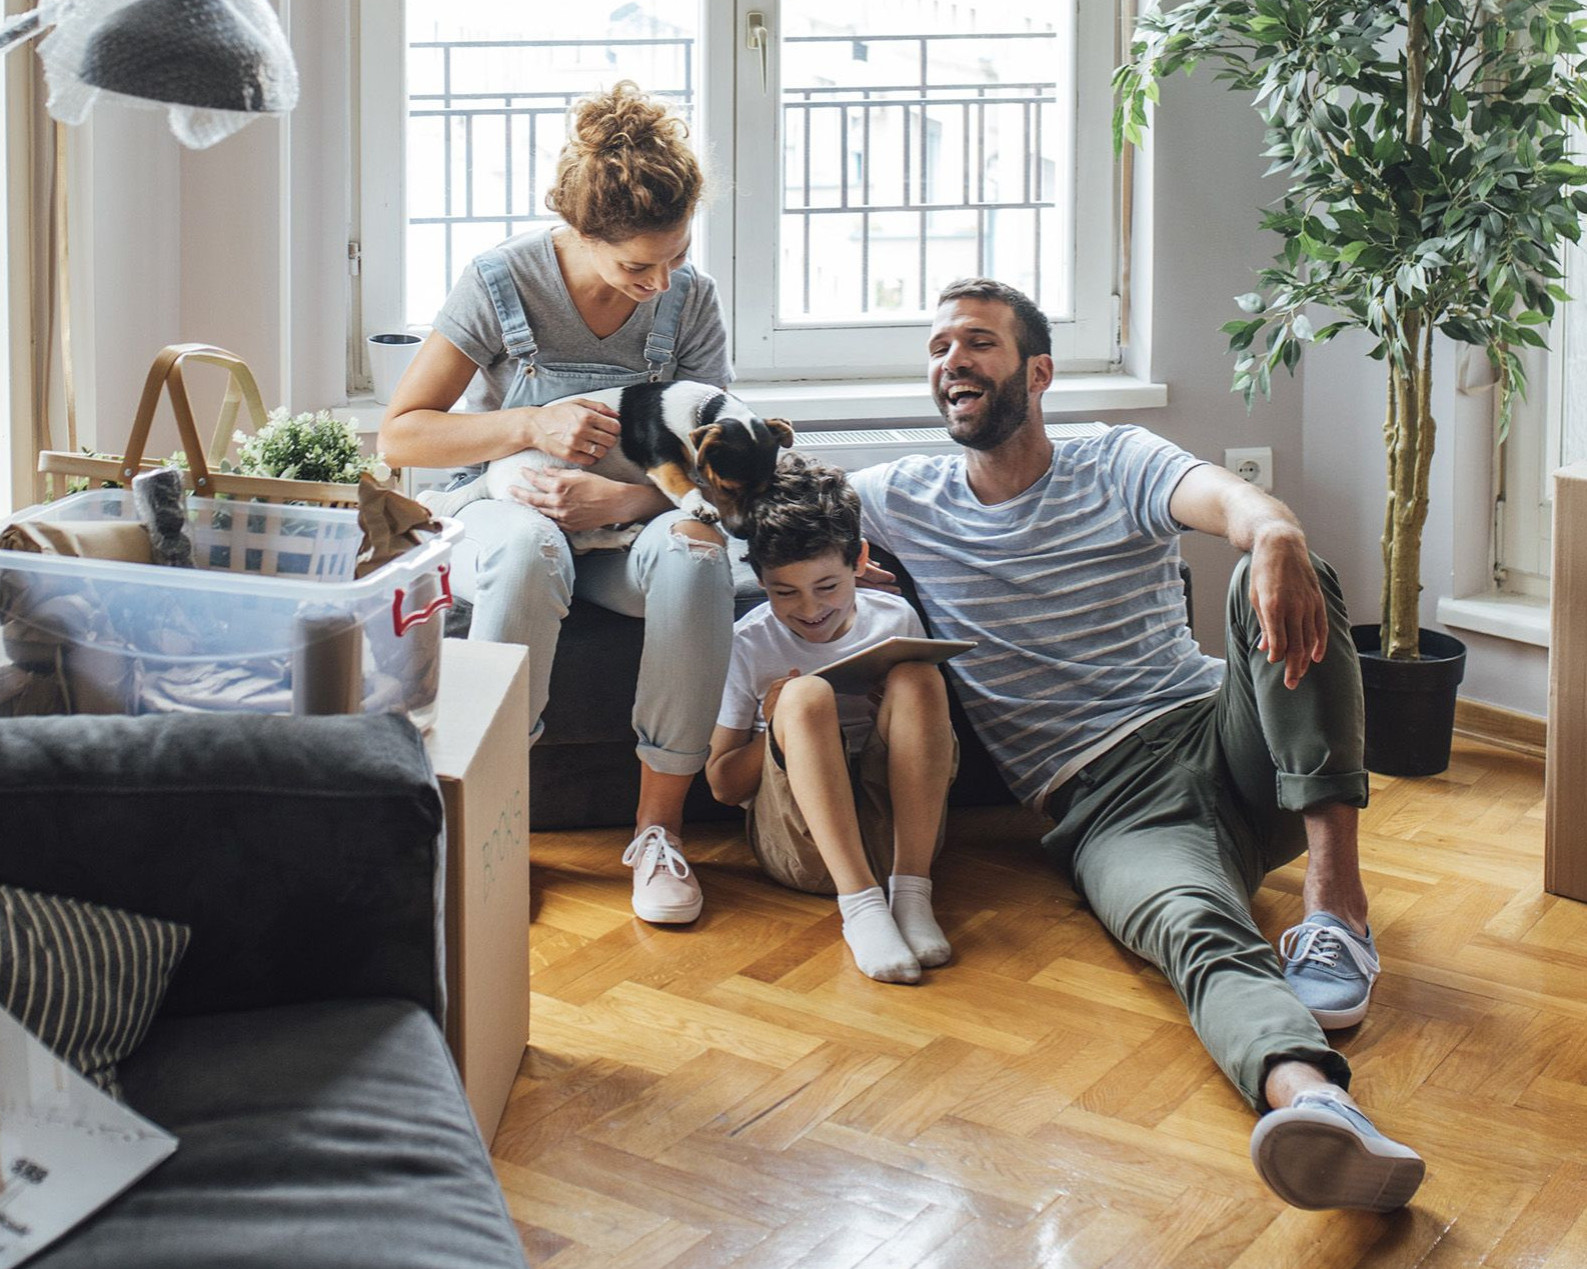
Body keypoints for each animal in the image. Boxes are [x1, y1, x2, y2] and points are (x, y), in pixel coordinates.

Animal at [434, 382, 793, 548]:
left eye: (764, 489)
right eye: (727, 488)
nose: (745, 533)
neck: (702, 411)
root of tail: (490, 477)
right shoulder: (663, 461)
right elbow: (683, 483)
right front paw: (700, 506)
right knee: (580, 540)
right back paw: (619, 537)